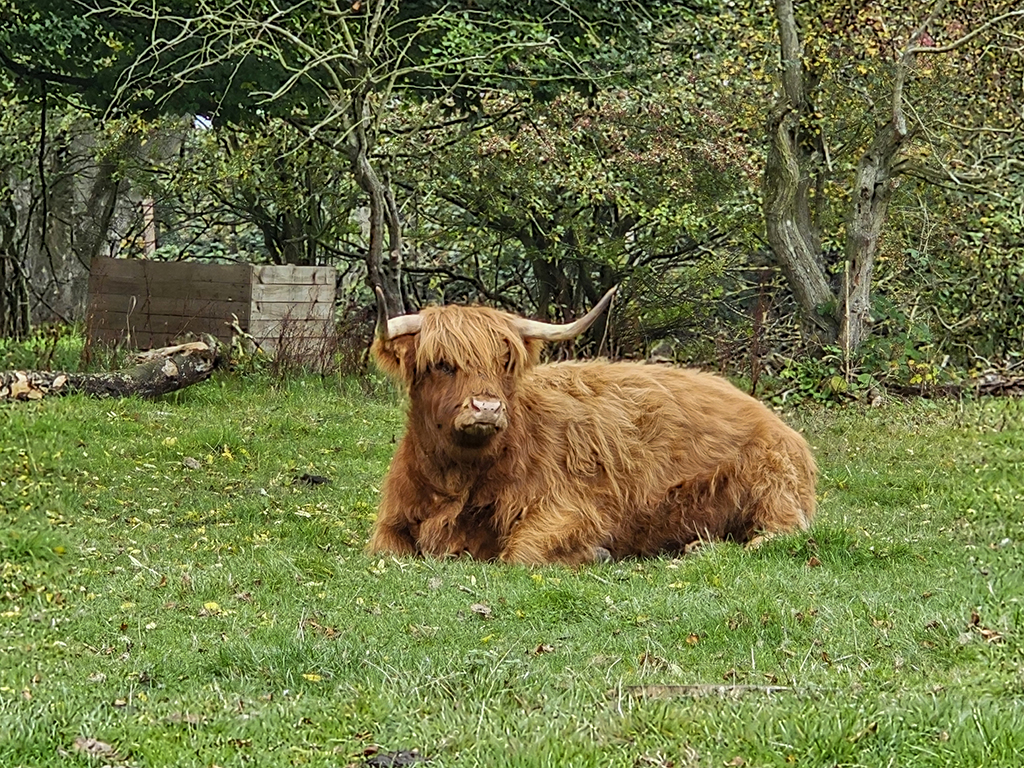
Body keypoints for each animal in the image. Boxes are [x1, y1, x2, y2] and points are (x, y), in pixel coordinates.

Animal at [367, 287, 816, 565]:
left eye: (505, 362)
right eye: (442, 364)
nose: (488, 407)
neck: (458, 480)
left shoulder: (571, 509)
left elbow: (521, 553)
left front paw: (595, 554)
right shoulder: (391, 524)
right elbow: (384, 549)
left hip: (771, 488)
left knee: (783, 532)